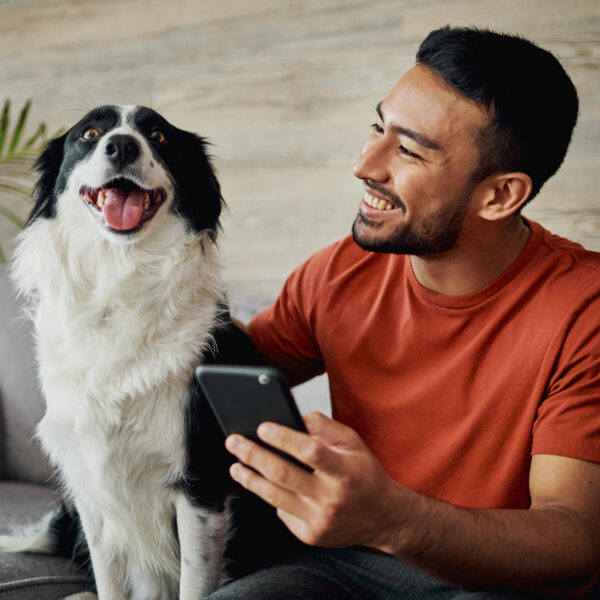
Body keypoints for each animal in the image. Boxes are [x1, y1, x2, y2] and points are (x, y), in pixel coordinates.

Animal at [0, 105, 278, 596]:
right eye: (90, 133)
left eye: (158, 136)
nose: (122, 146)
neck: (118, 281)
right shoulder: (91, 485)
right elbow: (108, 578)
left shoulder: (200, 484)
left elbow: (193, 581)